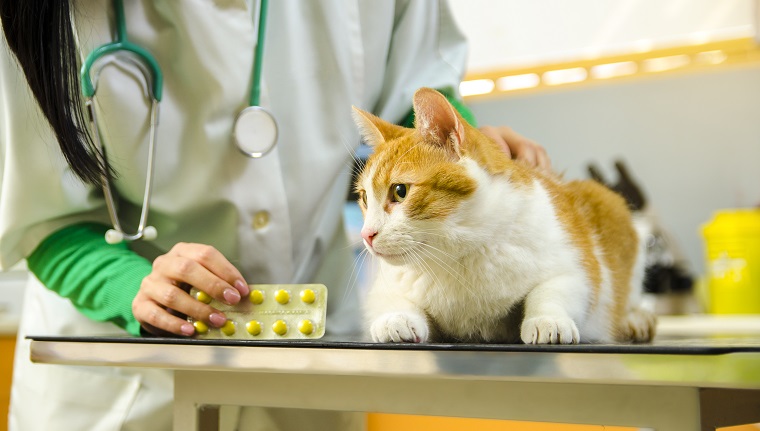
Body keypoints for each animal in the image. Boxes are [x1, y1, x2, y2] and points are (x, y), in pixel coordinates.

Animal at [354, 88, 656, 344]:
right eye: (365, 198)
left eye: (400, 191)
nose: (366, 235)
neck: (456, 256)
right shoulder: (384, 286)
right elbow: (391, 300)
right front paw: (395, 318)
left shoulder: (579, 268)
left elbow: (552, 289)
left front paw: (548, 320)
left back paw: (634, 321)